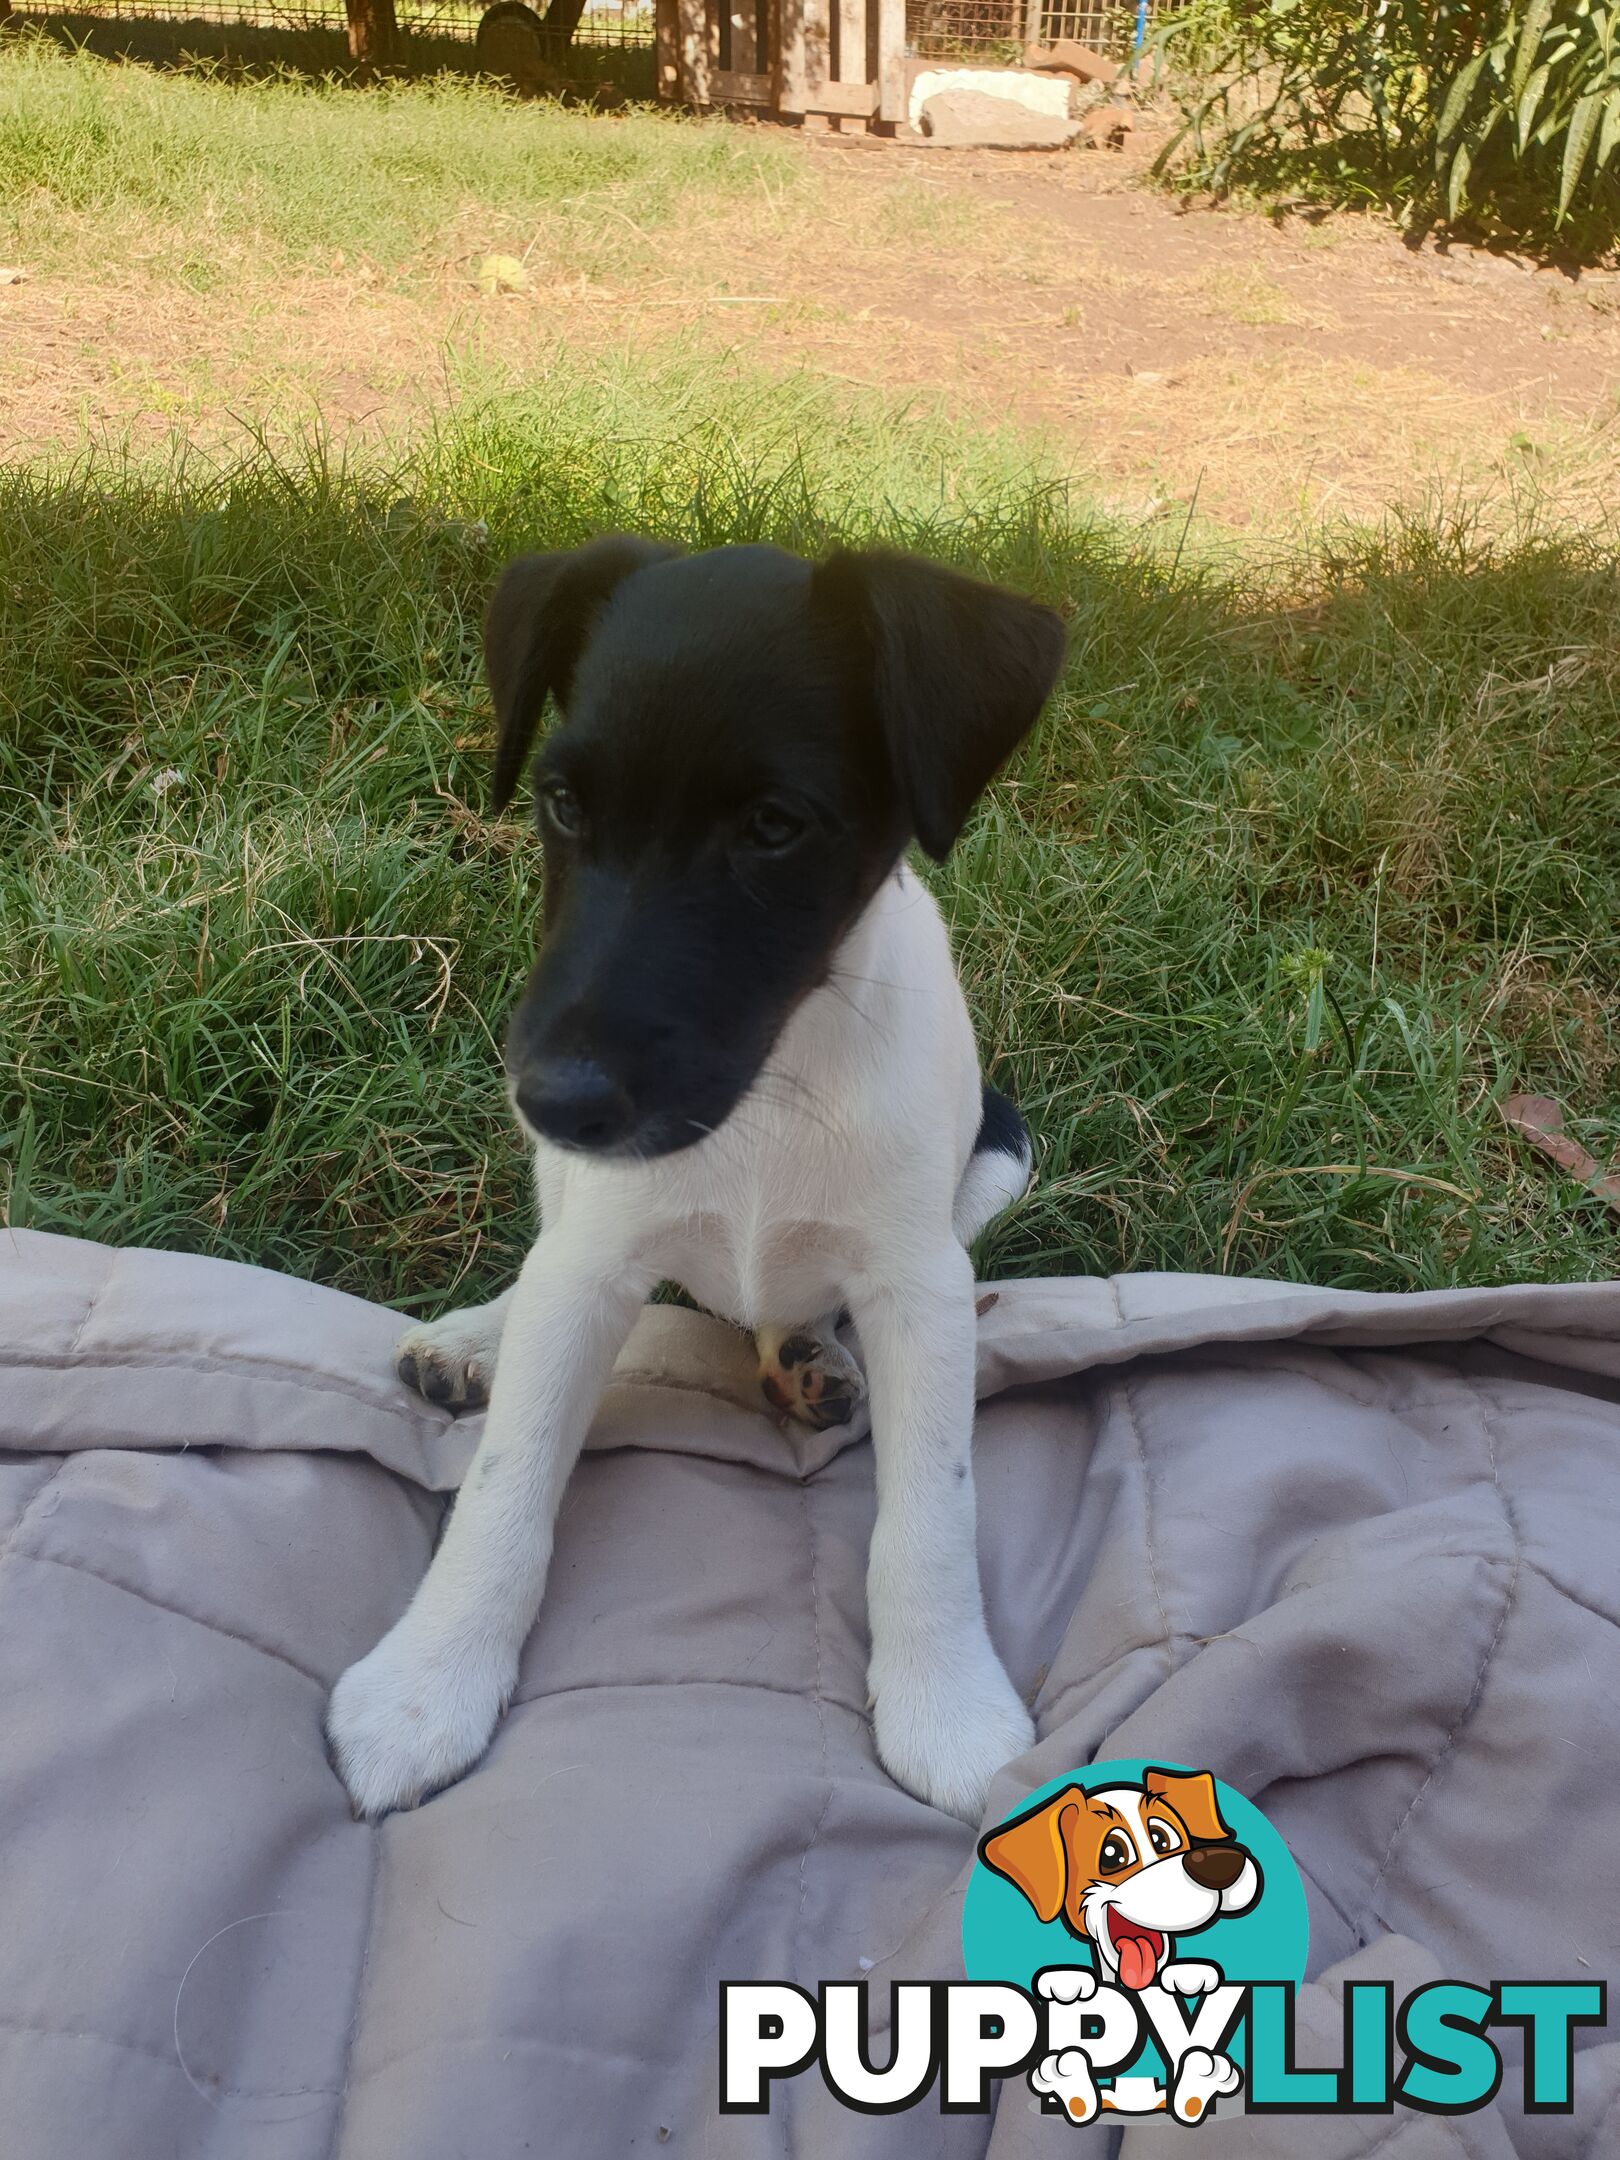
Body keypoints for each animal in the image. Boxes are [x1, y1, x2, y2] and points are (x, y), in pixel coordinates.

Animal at [326, 540, 1071, 1823]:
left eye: (774, 827)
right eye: (563, 804)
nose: (554, 1097)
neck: (776, 1085)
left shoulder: (921, 1285)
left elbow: (932, 1508)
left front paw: (947, 1705)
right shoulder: (590, 1253)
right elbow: (508, 1482)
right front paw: (428, 1685)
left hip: (1002, 1152)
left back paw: (810, 1358)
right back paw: (477, 1338)